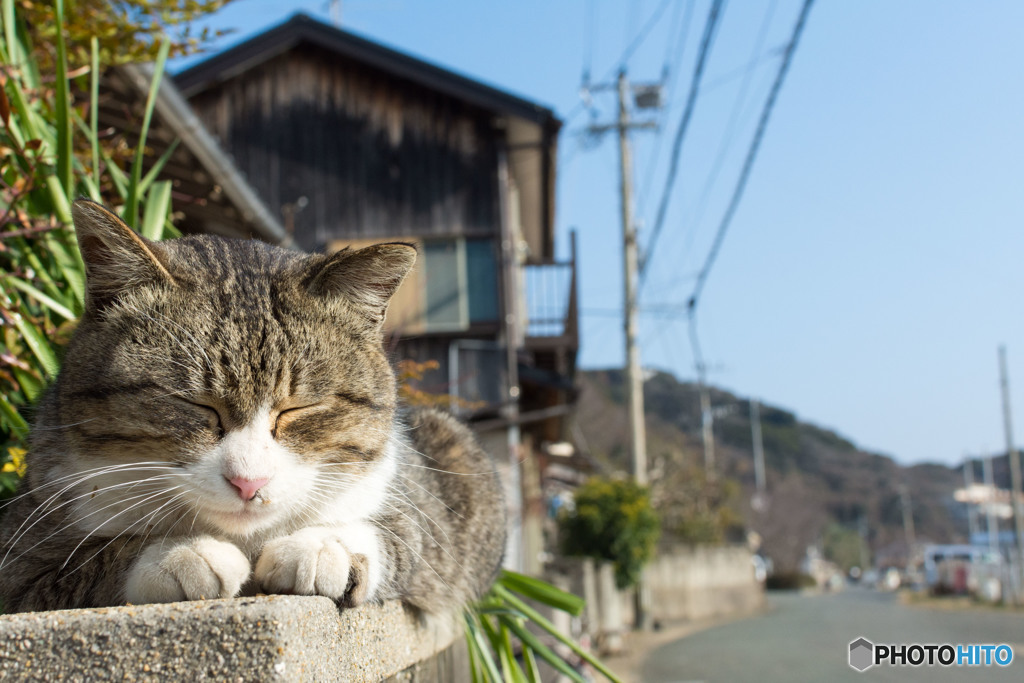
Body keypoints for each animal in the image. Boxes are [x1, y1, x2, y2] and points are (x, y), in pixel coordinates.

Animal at [0, 200, 505, 618]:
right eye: (196, 404)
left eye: (298, 408)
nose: (249, 482)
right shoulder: (20, 551)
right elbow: (87, 560)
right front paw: (177, 554)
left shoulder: (415, 503)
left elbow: (405, 532)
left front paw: (326, 545)